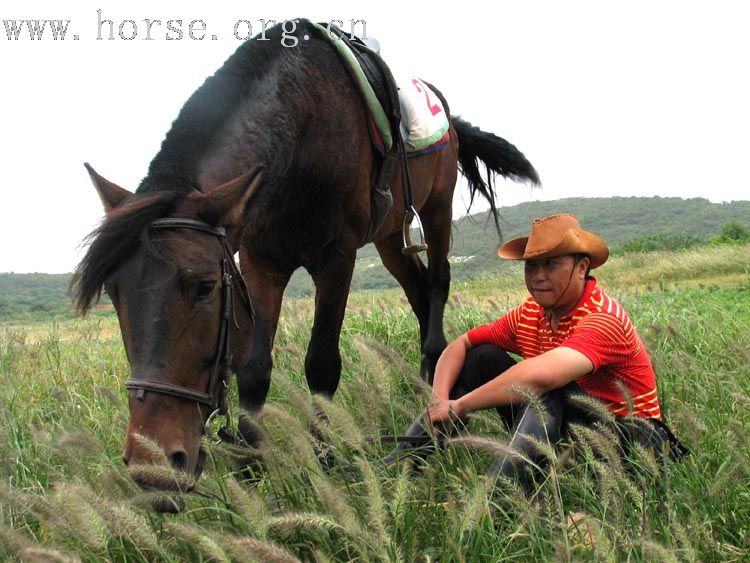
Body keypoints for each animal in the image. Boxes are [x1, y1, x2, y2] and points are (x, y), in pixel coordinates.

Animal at [72, 17, 540, 496]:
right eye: (114, 293)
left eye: (203, 288)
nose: (152, 468)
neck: (300, 126)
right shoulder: (261, 262)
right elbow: (254, 369)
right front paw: (252, 467)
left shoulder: (336, 258)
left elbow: (321, 365)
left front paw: (325, 457)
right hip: (390, 237)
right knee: (417, 288)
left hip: (437, 206)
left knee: (439, 279)